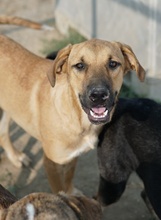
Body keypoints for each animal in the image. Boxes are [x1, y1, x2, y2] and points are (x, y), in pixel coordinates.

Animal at [0, 35, 145, 194]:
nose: (98, 95)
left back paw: (15, 156)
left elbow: (69, 176)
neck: (78, 119)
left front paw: (71, 194)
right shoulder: (52, 164)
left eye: (113, 63)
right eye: (80, 66)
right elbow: (59, 191)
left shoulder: (73, 155)